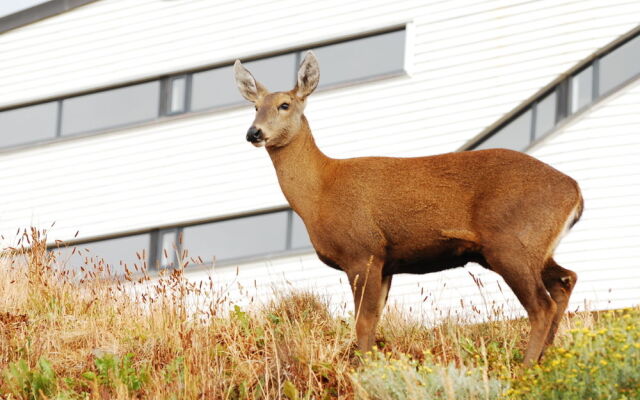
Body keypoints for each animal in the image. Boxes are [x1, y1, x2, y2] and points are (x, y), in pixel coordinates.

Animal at [235, 50, 584, 366]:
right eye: (255, 107)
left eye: (284, 104)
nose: (254, 132)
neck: (320, 192)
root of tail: (576, 191)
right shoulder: (387, 262)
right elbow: (373, 321)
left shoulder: (362, 251)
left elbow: (363, 323)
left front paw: (364, 373)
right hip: (527, 247)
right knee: (566, 280)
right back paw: (545, 359)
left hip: (512, 242)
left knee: (541, 306)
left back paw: (526, 368)